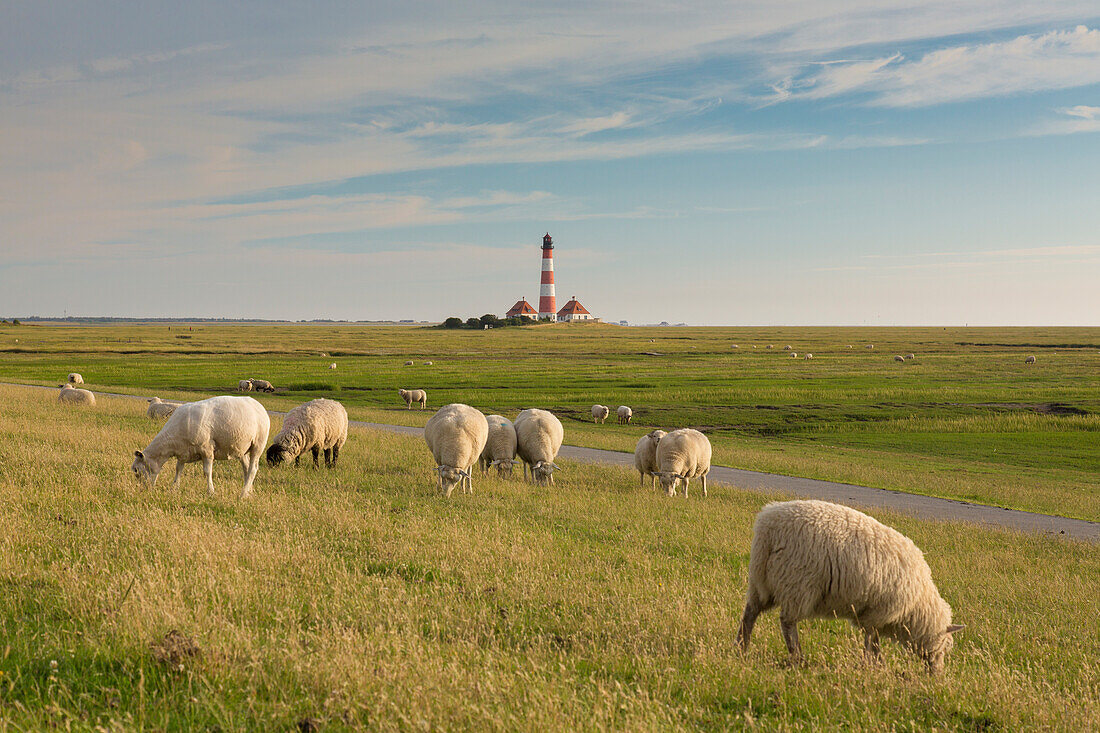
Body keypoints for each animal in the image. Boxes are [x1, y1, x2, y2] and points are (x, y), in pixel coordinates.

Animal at [129, 394, 272, 501]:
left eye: (136, 470)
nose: (142, 490)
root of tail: (258, 405)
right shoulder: (183, 452)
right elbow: (178, 469)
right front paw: (174, 488)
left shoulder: (206, 450)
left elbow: (207, 472)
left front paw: (211, 492)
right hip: (243, 448)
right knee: (247, 469)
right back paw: (249, 492)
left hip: (258, 444)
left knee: (253, 469)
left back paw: (242, 494)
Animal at [734, 499, 968, 669]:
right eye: (946, 647)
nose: (937, 674)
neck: (917, 607)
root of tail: (768, 524)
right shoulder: (878, 612)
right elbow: (871, 640)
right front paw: (874, 664)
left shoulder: (872, 613)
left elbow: (872, 639)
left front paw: (875, 664)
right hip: (797, 584)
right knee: (787, 623)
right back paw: (798, 657)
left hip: (762, 582)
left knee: (750, 614)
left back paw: (740, 648)